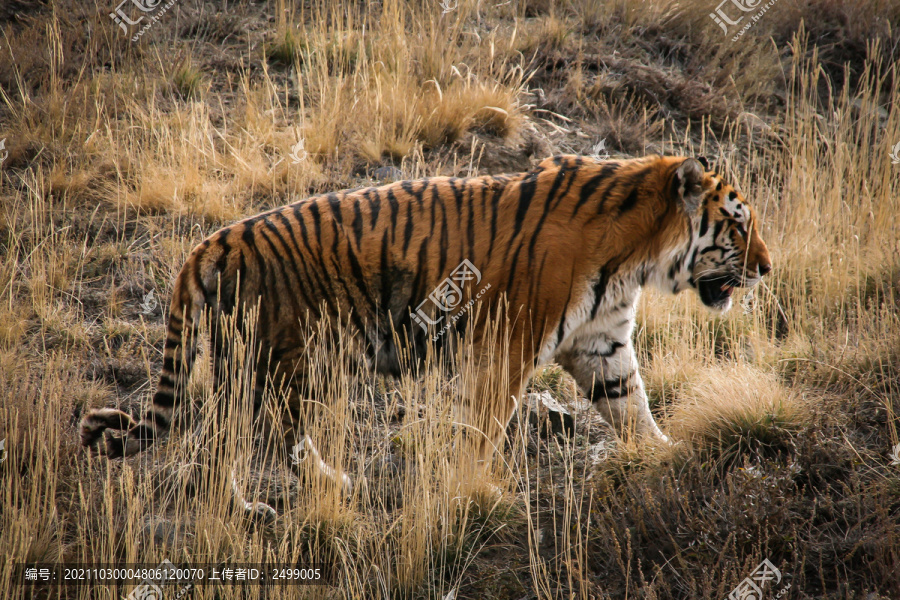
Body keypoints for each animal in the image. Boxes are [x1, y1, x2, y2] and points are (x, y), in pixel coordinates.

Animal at [82, 154, 772, 496]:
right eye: (738, 225)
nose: (767, 268)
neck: (638, 257)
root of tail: (211, 242)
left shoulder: (599, 343)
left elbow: (632, 407)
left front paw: (668, 455)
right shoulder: (506, 345)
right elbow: (485, 427)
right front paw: (470, 487)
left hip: (251, 367)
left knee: (226, 441)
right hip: (291, 364)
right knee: (260, 440)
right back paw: (312, 491)